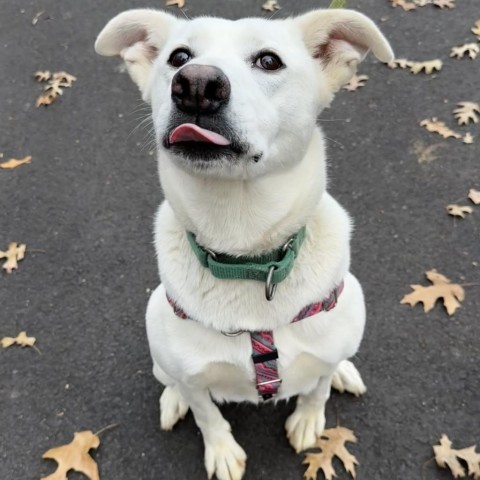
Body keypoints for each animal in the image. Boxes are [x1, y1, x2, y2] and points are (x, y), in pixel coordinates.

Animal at [95, 8, 392, 480]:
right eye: (179, 57)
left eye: (269, 61)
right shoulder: (194, 377)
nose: (196, 85)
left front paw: (308, 419)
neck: (246, 250)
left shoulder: (324, 350)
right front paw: (222, 450)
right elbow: (206, 413)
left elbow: (318, 390)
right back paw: (172, 399)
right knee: (171, 379)